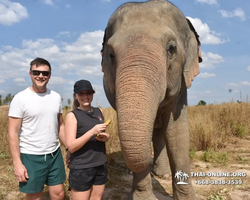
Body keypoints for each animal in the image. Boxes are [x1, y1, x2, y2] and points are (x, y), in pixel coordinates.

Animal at [100, 0, 202, 199]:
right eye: (111, 55)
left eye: (171, 49)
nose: (148, 160)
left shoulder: (181, 83)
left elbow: (177, 132)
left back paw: (161, 173)